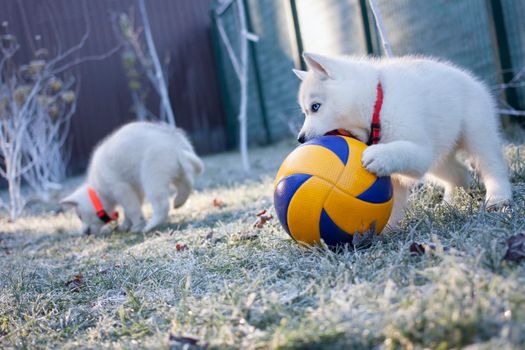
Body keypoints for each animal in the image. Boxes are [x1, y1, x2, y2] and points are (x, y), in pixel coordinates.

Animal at [60, 121, 202, 235]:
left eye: (79, 216)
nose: (84, 233)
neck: (99, 190)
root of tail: (175, 145)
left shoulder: (121, 189)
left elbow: (132, 210)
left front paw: (138, 226)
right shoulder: (135, 190)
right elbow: (128, 211)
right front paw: (125, 225)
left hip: (152, 178)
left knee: (162, 205)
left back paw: (150, 226)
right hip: (178, 170)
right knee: (187, 183)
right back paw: (179, 201)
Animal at [294, 52, 512, 227]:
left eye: (315, 107)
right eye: (305, 111)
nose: (301, 139)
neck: (375, 106)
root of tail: (471, 80)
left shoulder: (419, 151)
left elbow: (399, 151)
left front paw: (378, 156)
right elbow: (393, 203)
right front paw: (386, 229)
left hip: (476, 133)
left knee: (491, 166)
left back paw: (498, 198)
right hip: (438, 159)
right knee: (459, 174)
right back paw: (449, 204)